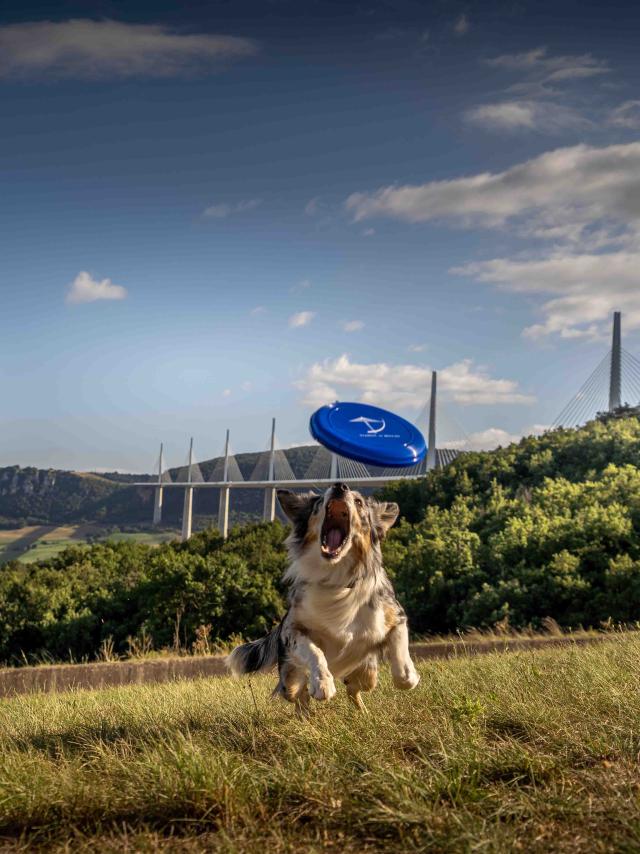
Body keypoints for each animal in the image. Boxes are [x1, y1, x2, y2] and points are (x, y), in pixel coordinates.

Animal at [225, 484, 420, 712]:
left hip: (367, 674)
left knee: (353, 688)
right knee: (299, 697)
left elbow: (402, 668)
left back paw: (362, 712)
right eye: (319, 501)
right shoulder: (292, 629)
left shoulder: (395, 616)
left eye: (359, 502)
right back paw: (307, 712)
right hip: (290, 680)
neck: (336, 577)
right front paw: (322, 684)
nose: (339, 486)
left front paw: (411, 677)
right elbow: (314, 651)